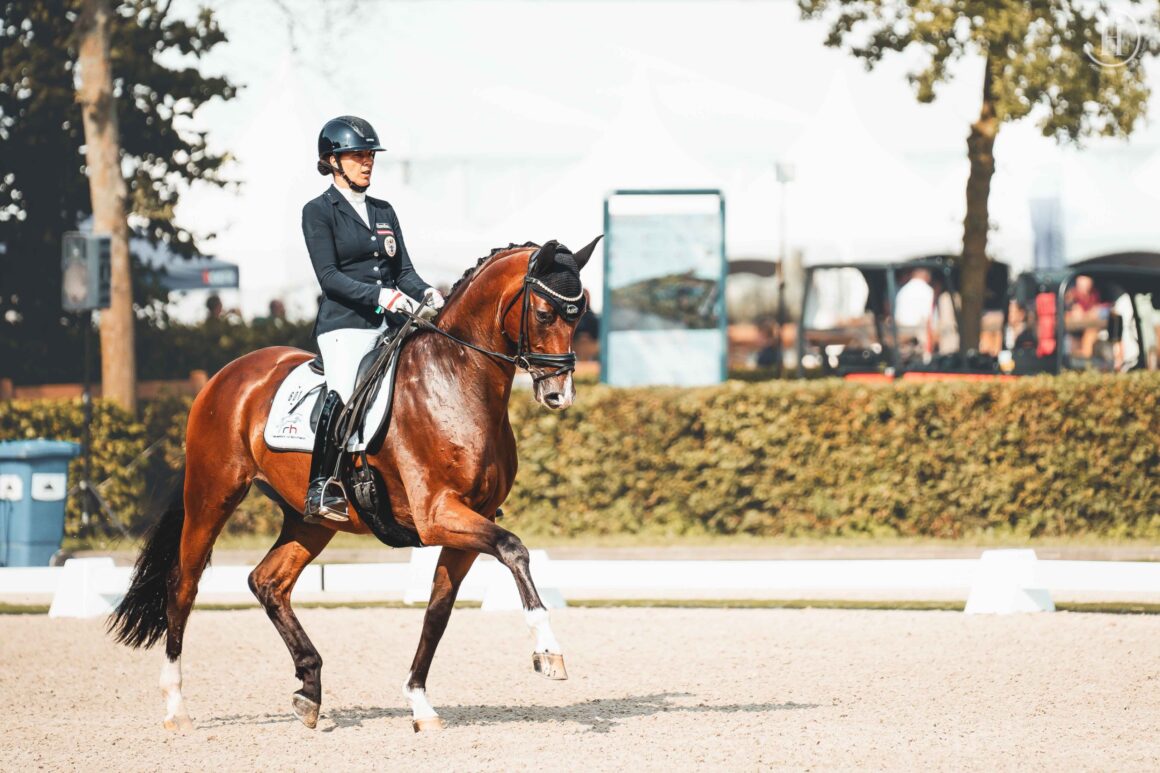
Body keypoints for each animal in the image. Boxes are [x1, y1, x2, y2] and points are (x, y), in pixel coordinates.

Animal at [110, 237, 598, 733]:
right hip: (212, 496)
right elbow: (514, 549)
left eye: (580, 312)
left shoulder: (468, 520)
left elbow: (438, 612)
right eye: (544, 313)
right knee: (183, 585)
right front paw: (548, 651)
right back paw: (176, 707)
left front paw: (419, 702)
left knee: (268, 582)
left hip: (310, 520)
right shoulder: (437, 514)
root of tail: (226, 375)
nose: (559, 395)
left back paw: (309, 690)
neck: (455, 381)